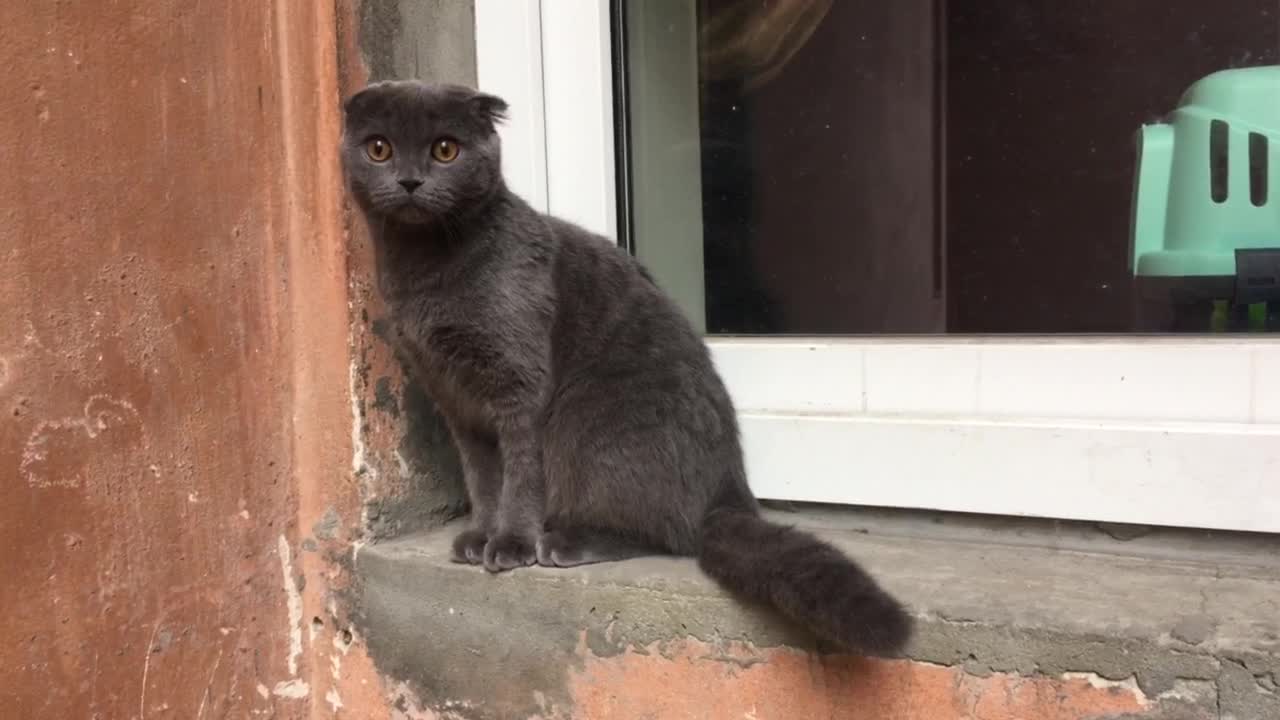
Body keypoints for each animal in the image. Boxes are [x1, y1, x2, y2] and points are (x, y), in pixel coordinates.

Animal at [340, 79, 911, 655]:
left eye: (445, 150)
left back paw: (563, 542)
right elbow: (482, 479)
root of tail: (730, 492)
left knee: (664, 532)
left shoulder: (520, 390)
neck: (426, 269)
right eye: (380, 148)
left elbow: (519, 476)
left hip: (590, 430)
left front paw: (511, 543)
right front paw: (481, 535)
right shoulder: (457, 402)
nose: (410, 180)